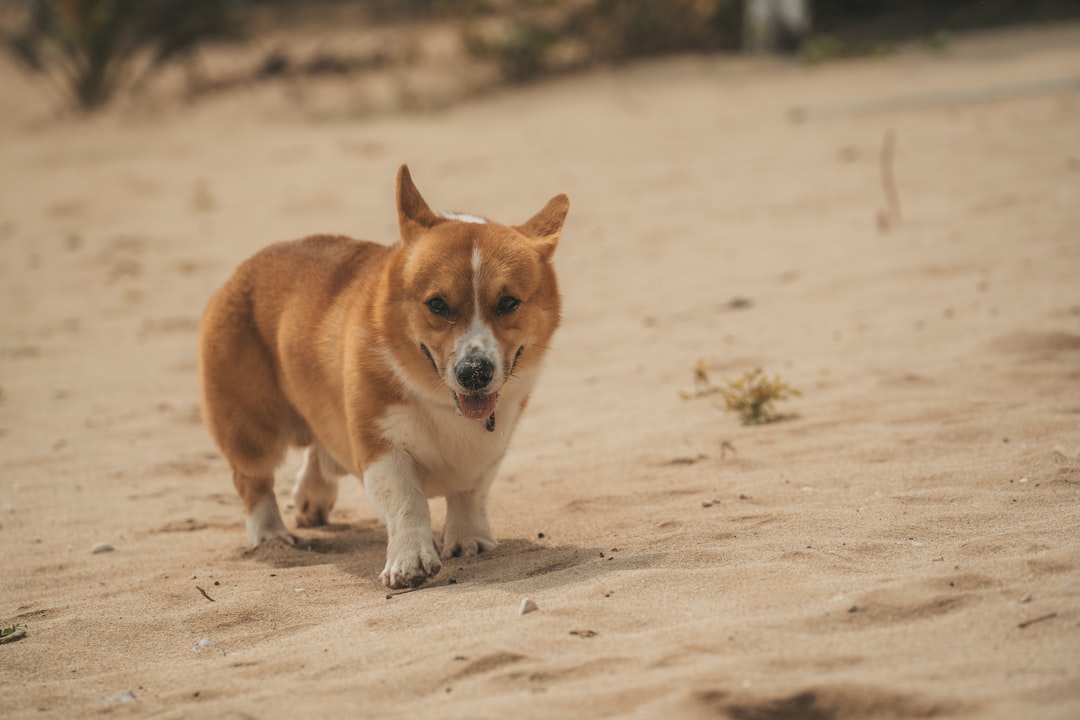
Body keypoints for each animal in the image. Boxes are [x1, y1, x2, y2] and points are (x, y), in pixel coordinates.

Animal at [197, 166, 570, 587]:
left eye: (508, 303)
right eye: (436, 304)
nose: (474, 373)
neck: (440, 401)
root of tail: (243, 268)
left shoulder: (490, 449)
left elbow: (470, 493)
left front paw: (468, 540)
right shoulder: (380, 445)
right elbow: (407, 502)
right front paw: (410, 563)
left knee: (321, 452)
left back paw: (313, 495)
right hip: (252, 428)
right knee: (253, 480)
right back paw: (270, 536)